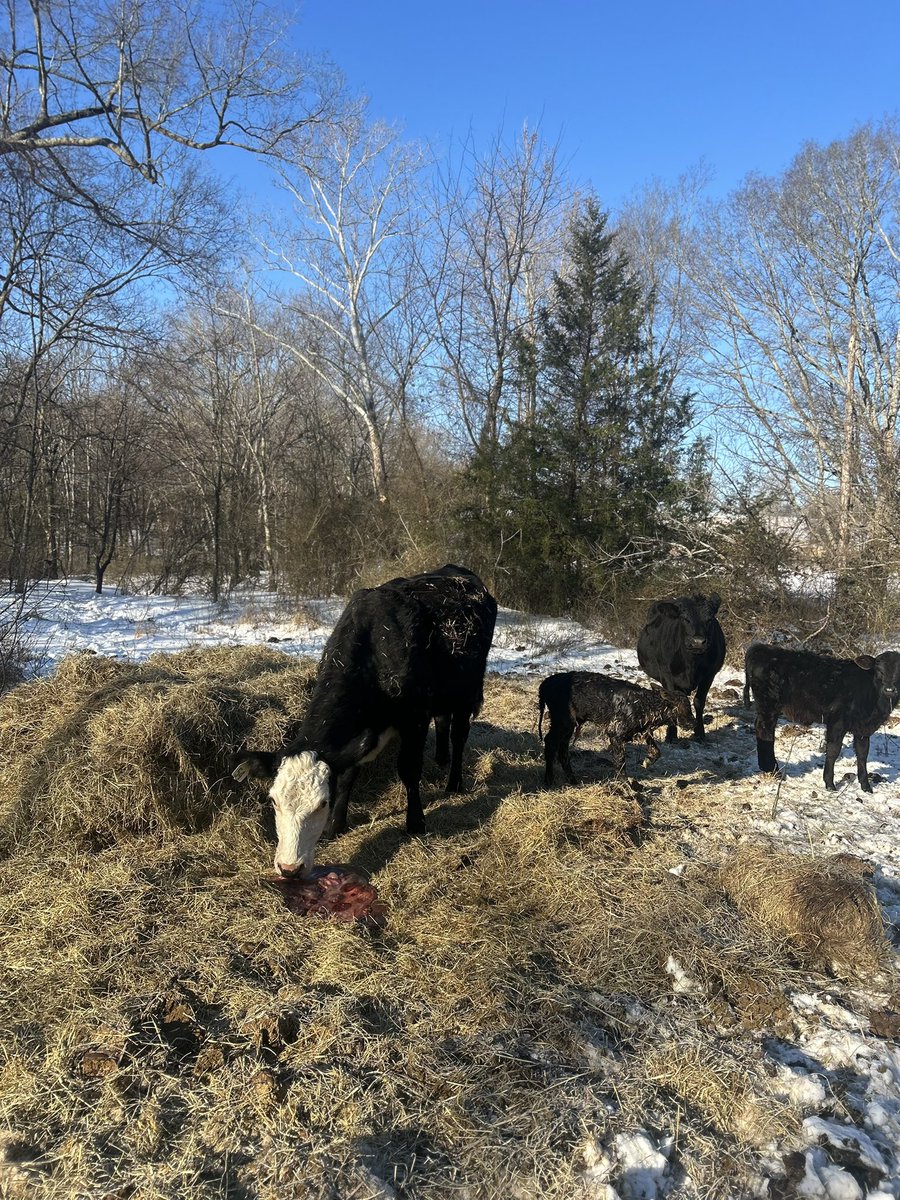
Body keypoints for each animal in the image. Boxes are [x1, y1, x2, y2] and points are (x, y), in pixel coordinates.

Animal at [232, 565, 497, 876]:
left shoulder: (415, 717)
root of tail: (458, 572)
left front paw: (415, 821)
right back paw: (441, 759)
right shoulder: (359, 735)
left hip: (467, 690)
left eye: (322, 802)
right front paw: (337, 824)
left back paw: (454, 781)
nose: (289, 868)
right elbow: (348, 774)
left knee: (459, 733)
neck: (375, 645)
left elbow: (409, 769)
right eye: (273, 800)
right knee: (443, 721)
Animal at [538, 671, 693, 786]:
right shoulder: (615, 733)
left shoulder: (642, 730)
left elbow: (656, 750)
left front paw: (647, 761)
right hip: (562, 720)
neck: (646, 705)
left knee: (562, 748)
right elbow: (620, 761)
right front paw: (625, 784)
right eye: (683, 706)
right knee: (550, 742)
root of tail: (544, 685)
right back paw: (549, 780)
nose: (692, 723)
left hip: (569, 724)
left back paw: (572, 780)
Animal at [636, 592, 726, 743]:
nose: (698, 642)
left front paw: (700, 733)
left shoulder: (709, 675)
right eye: (685, 618)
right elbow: (672, 701)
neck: (692, 663)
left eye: (709, 619)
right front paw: (671, 735)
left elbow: (699, 701)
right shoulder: (666, 674)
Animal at [743, 642, 900, 792]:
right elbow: (833, 751)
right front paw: (829, 783)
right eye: (879, 670)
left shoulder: (863, 727)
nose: (890, 689)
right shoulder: (837, 722)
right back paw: (774, 770)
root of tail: (761, 648)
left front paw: (866, 786)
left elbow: (862, 754)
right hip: (769, 704)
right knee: (765, 731)